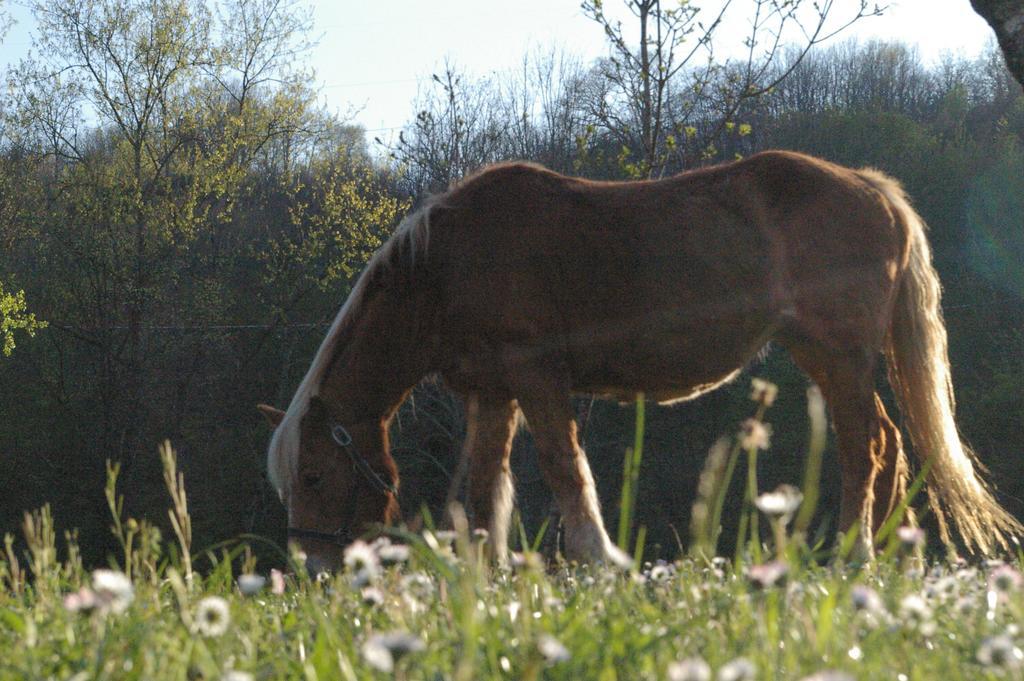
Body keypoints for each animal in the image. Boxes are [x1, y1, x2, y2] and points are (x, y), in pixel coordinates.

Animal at [258, 150, 1024, 569]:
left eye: (316, 476)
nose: (315, 567)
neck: (445, 265)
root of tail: (874, 188)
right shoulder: (493, 393)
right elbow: (483, 489)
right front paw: (491, 573)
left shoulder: (537, 379)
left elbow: (565, 470)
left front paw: (598, 560)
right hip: (828, 355)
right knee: (888, 443)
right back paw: (881, 556)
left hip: (840, 354)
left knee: (863, 447)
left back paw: (855, 552)